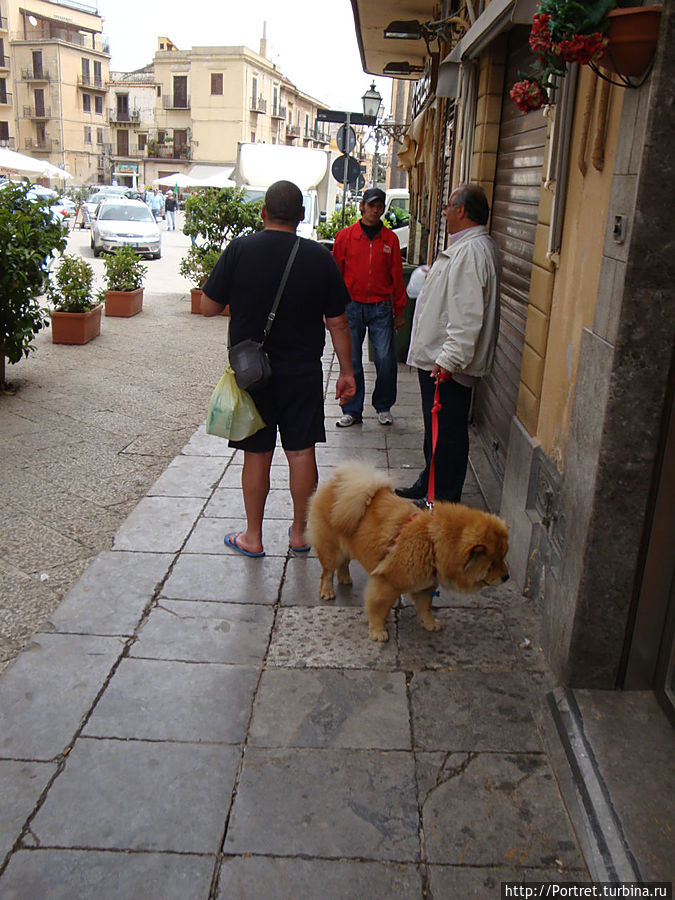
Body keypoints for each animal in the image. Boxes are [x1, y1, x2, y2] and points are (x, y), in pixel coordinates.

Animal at [308, 464, 510, 640]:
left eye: (503, 558)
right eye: (492, 564)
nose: (507, 576)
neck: (433, 543)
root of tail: (335, 484)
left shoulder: (425, 586)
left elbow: (425, 607)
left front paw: (430, 624)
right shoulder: (387, 583)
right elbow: (379, 609)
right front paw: (378, 632)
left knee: (343, 564)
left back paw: (345, 578)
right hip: (331, 549)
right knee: (327, 571)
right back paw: (327, 591)